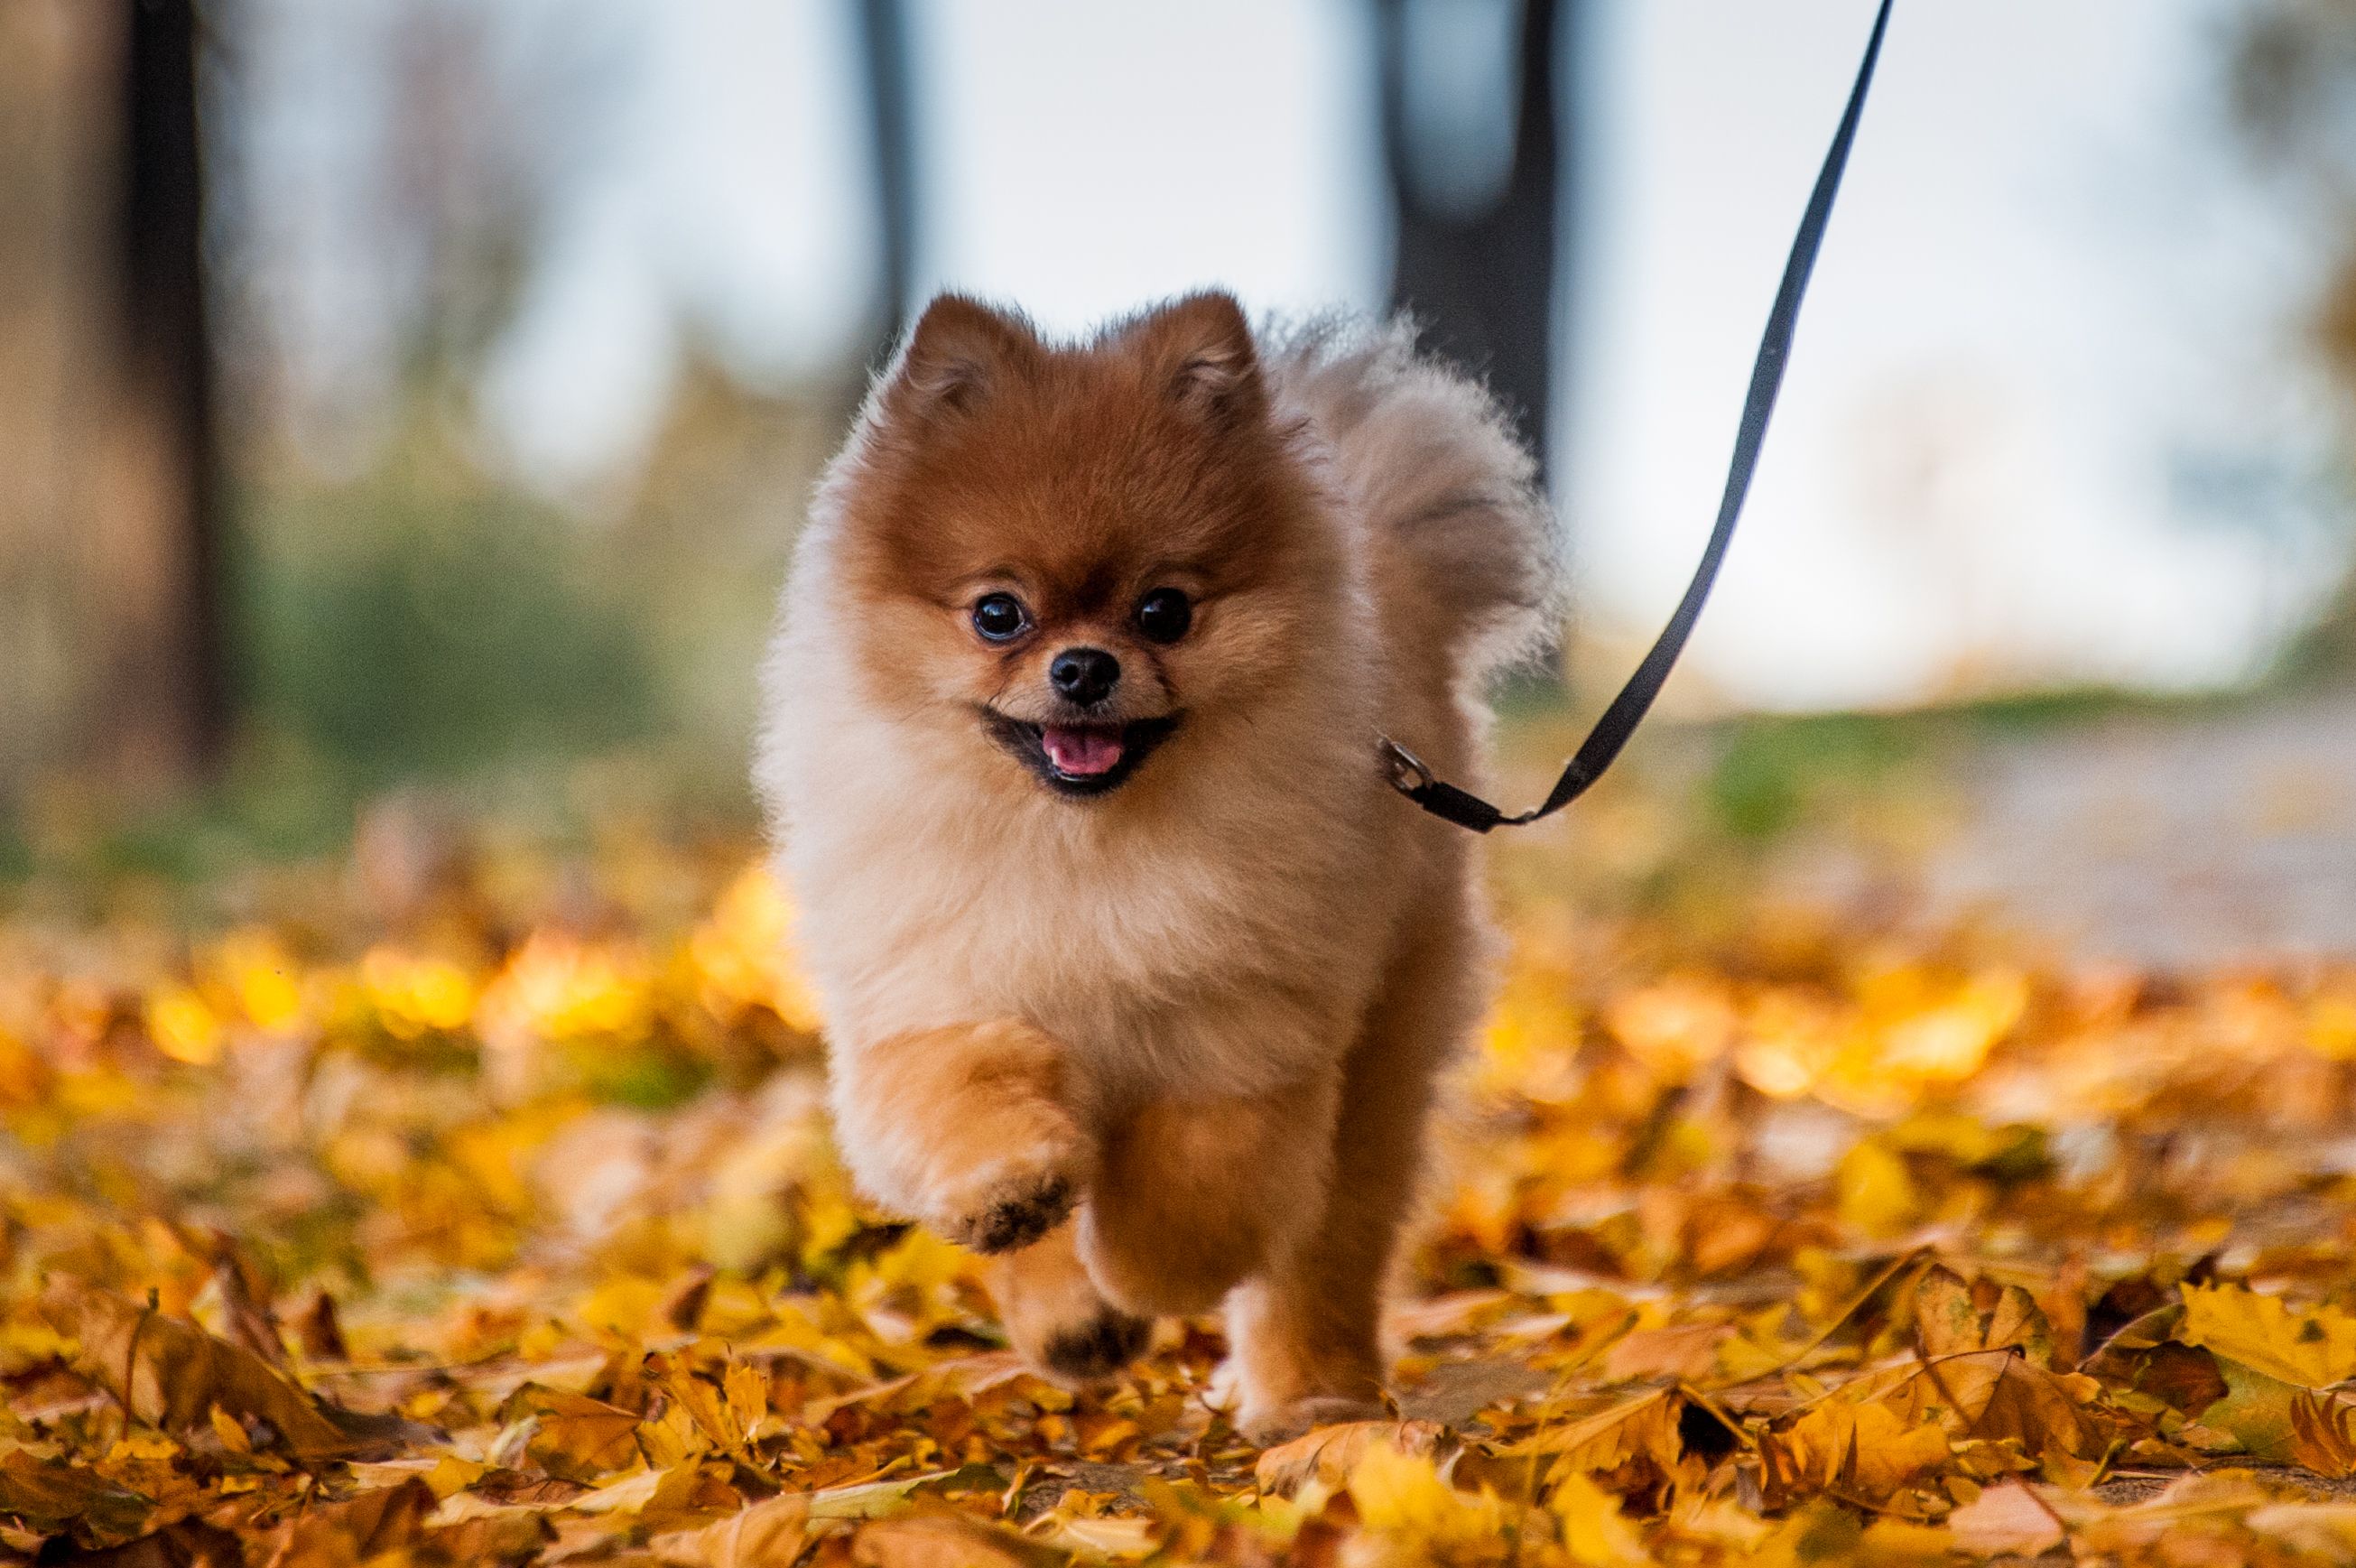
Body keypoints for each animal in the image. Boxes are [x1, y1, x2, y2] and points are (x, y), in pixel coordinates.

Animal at [763, 287, 1554, 1431]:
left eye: (1164, 611)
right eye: (997, 613)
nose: (1084, 668)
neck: (1083, 848)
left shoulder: (1240, 1037)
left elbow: (1194, 1184)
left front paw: (1148, 1272)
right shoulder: (934, 997)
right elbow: (971, 1099)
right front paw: (1017, 1202)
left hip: (1382, 1054)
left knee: (1326, 1245)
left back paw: (1314, 1397)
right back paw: (1074, 1321)